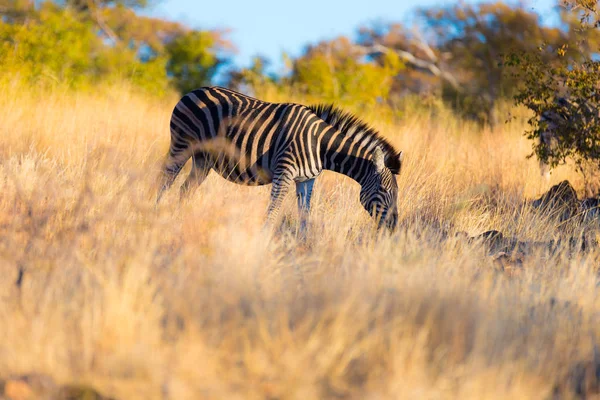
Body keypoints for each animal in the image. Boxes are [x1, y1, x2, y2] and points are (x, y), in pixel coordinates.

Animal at [157, 87, 406, 231]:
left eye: (396, 192)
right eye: (384, 190)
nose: (393, 226)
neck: (321, 147)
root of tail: (194, 90)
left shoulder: (306, 180)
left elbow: (305, 214)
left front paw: (304, 245)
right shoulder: (284, 172)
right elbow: (274, 209)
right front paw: (264, 240)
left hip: (203, 159)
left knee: (185, 189)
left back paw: (181, 219)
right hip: (182, 144)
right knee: (165, 179)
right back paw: (155, 212)